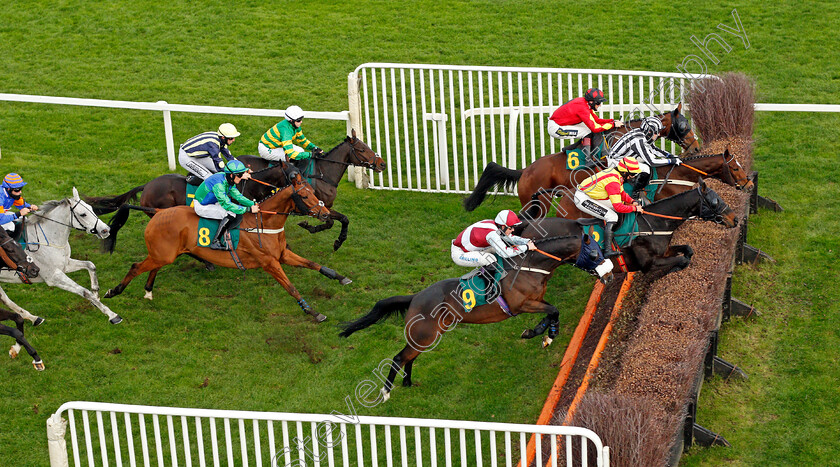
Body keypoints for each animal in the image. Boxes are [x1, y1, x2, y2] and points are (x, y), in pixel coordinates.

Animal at [87, 130, 386, 252]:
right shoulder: (313, 206)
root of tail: (147, 185)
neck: (321, 173)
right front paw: (326, 236)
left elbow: (337, 220)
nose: (381, 163)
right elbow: (337, 220)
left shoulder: (317, 206)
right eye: (362, 149)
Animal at [102, 174, 344, 324]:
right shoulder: (270, 263)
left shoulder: (283, 255)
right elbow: (291, 287)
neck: (264, 222)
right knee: (135, 266)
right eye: (304, 195)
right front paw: (313, 312)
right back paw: (114, 291)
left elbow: (313, 264)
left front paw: (340, 277)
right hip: (162, 253)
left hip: (164, 254)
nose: (325, 214)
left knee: (153, 266)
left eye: (314, 191)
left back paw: (148, 290)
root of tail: (158, 212)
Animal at [340, 182, 736, 398]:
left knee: (407, 358)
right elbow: (677, 261)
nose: (733, 218)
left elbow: (687, 252)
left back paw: (407, 384)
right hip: (424, 334)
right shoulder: (524, 303)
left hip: (428, 337)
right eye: (715, 200)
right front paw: (541, 333)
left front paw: (543, 334)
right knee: (398, 357)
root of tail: (415, 297)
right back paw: (387, 391)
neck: (653, 223)